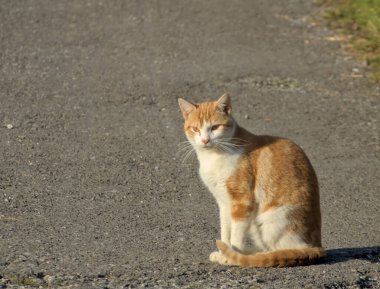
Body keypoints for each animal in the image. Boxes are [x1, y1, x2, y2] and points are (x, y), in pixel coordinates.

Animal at [178, 93, 324, 266]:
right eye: (195, 129)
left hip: (272, 220)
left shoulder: (242, 200)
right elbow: (225, 231)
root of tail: (317, 246)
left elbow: (236, 236)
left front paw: (231, 256)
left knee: (281, 251)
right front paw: (223, 252)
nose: (205, 140)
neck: (213, 156)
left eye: (215, 127)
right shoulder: (224, 203)